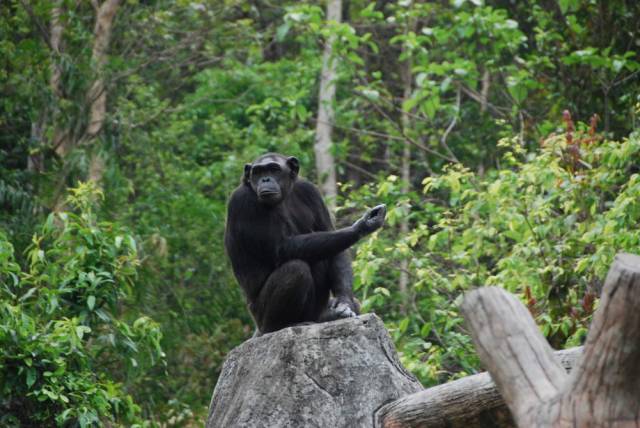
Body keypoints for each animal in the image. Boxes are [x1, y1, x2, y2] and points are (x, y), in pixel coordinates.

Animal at [225, 153, 384, 334]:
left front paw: (344, 302)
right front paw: (360, 226)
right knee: (296, 268)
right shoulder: (243, 201)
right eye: (258, 172)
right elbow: (279, 248)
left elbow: (330, 235)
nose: (265, 179)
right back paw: (279, 326)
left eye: (274, 169)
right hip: (258, 315)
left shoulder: (311, 191)